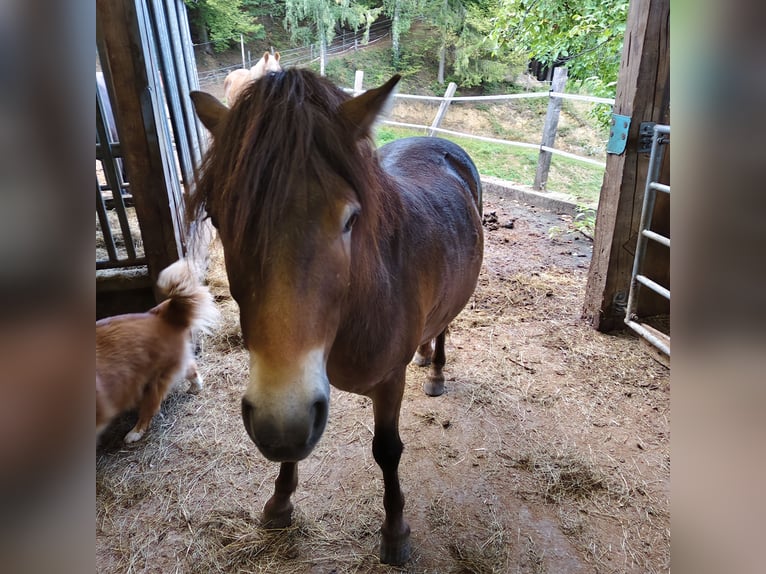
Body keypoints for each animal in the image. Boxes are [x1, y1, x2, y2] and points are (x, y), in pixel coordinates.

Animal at [188, 68, 483, 565]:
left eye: (350, 220)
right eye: (218, 218)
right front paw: (280, 501)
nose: (279, 422)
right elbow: (295, 449)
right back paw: (425, 353)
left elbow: (387, 451)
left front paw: (395, 530)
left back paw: (436, 370)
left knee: (445, 325)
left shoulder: (389, 382)